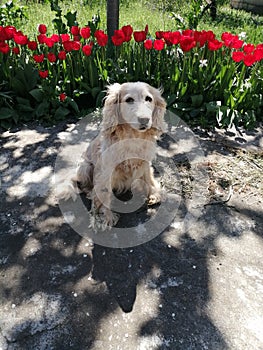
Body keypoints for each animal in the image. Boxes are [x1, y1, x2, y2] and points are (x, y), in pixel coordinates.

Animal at [60, 81, 167, 230]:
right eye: (129, 100)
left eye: (149, 99)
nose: (145, 120)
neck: (132, 137)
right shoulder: (106, 171)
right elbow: (104, 194)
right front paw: (106, 216)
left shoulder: (145, 162)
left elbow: (148, 179)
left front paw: (154, 193)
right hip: (85, 167)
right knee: (86, 186)